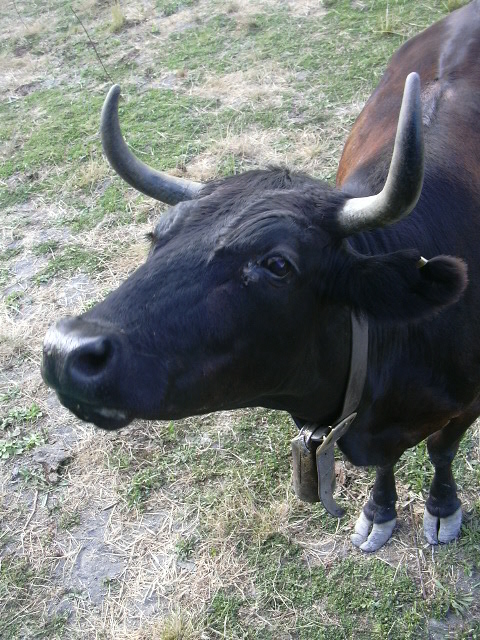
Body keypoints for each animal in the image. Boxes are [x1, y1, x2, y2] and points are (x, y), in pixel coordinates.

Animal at [40, 0, 480, 552]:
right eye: (157, 234)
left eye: (277, 265)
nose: (65, 350)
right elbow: (388, 465)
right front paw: (379, 511)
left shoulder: (469, 404)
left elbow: (442, 450)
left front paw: (442, 507)